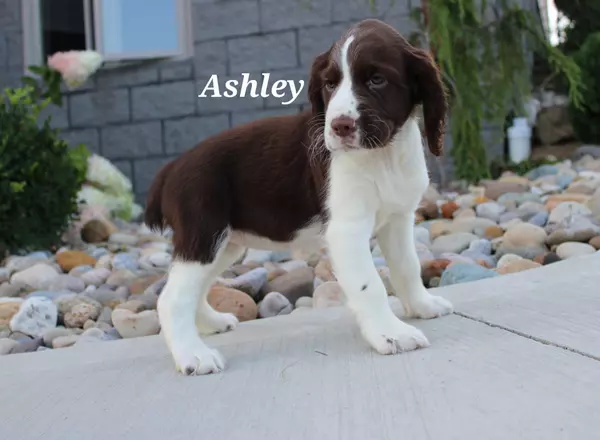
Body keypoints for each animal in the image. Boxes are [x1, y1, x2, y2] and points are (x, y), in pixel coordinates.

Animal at [145, 18, 452, 374]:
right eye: (330, 84)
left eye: (377, 80)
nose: (340, 126)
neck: (382, 156)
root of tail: (171, 168)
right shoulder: (347, 229)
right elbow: (369, 284)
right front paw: (390, 334)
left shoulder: (398, 219)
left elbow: (407, 266)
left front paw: (421, 305)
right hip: (204, 236)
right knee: (172, 298)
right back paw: (194, 355)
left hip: (225, 244)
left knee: (195, 287)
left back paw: (211, 323)